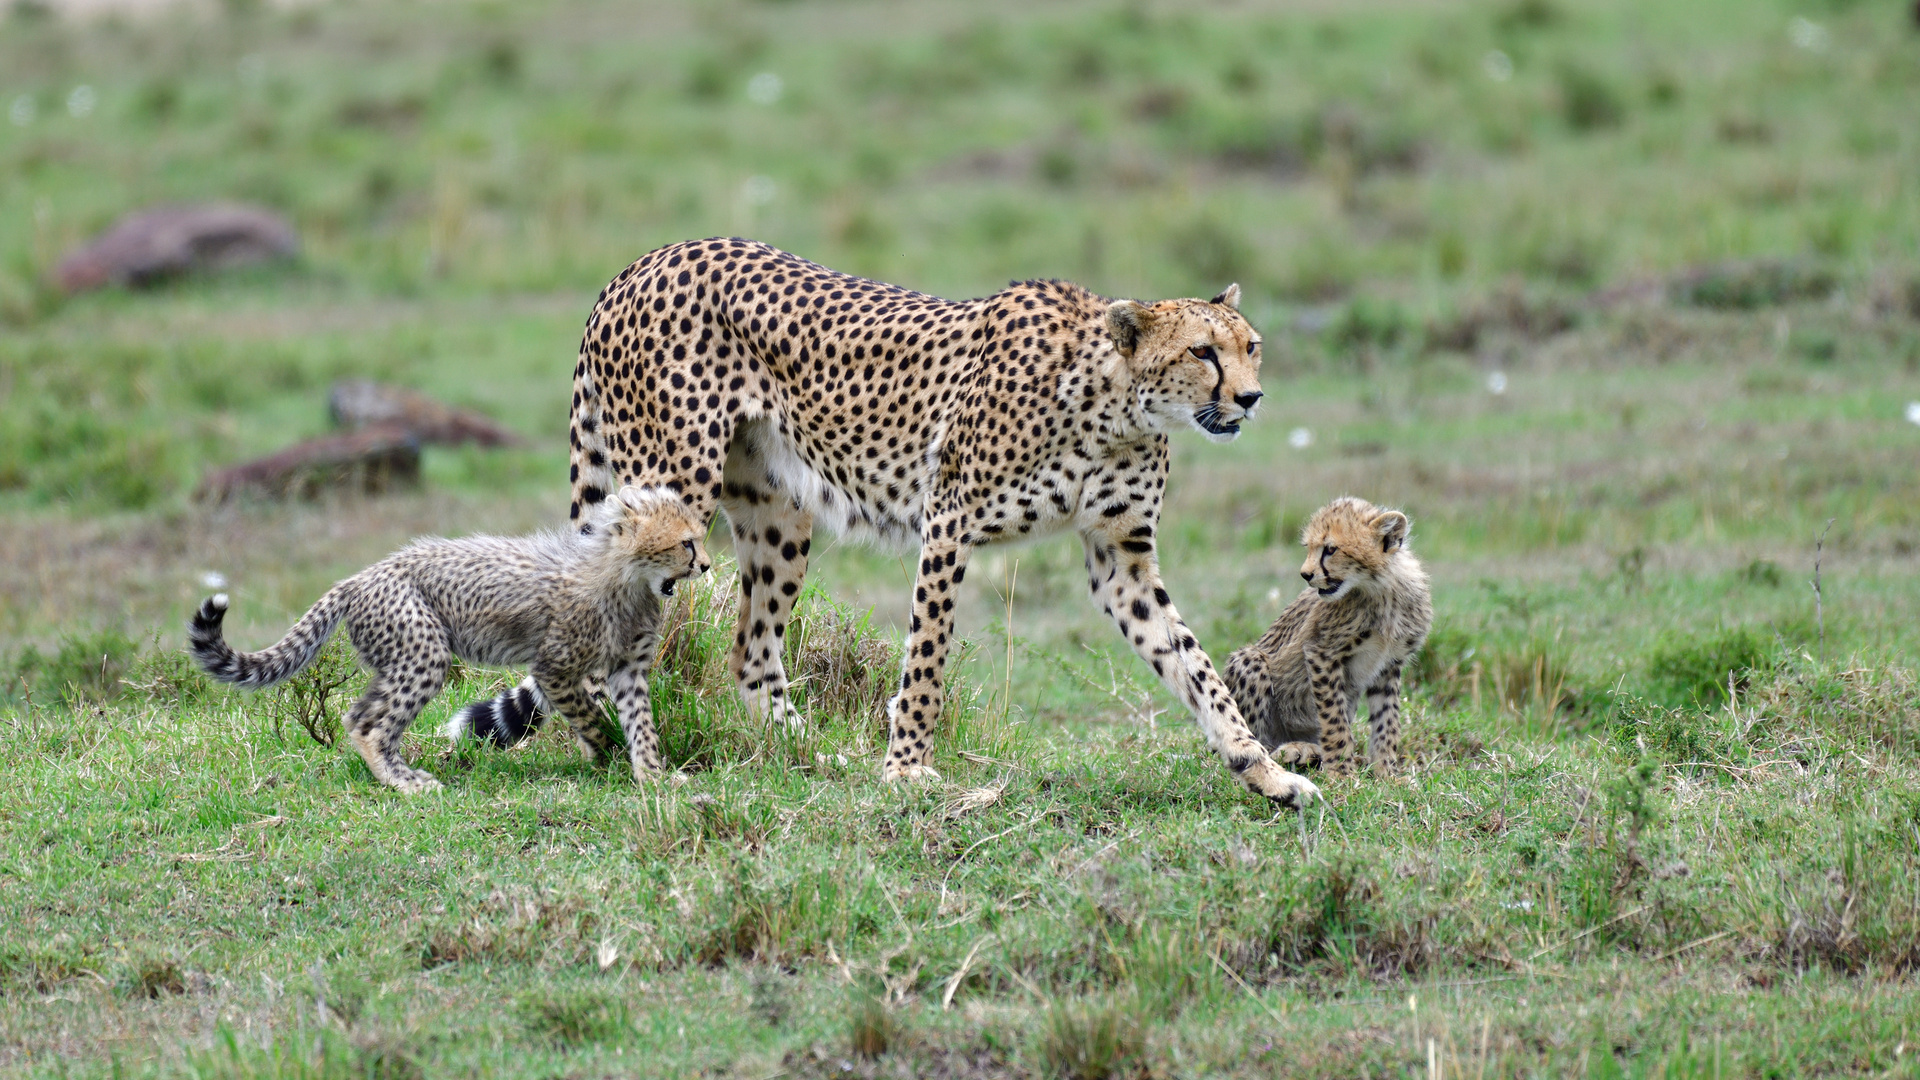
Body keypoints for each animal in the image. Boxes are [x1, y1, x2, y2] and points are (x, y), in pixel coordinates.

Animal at [453, 235, 1320, 807]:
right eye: (1204, 352)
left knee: (750, 650)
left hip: (780, 511)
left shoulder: (1122, 559)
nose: (1251, 397)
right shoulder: (950, 521)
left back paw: (816, 757)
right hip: (671, 493)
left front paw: (1264, 769)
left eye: (1252, 346)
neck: (1117, 407)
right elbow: (926, 662)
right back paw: (617, 749)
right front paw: (907, 771)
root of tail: (644, 261)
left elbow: (1195, 666)